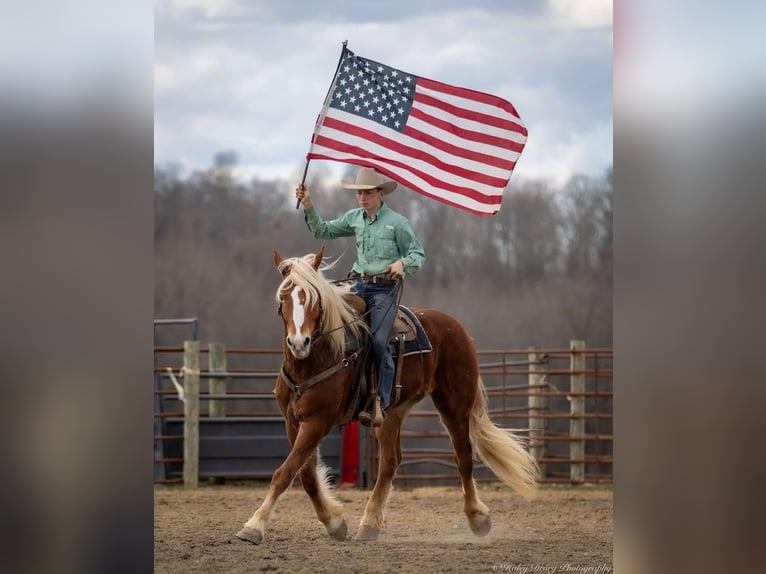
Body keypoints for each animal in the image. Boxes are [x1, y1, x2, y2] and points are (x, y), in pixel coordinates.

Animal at [237, 246, 536, 544]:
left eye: (313, 299)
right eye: (284, 297)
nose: (299, 342)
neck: (315, 359)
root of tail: (455, 326)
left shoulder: (317, 421)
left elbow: (285, 472)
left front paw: (254, 526)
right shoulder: (293, 421)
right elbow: (306, 475)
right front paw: (335, 522)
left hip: (454, 404)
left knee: (463, 457)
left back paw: (477, 519)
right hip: (391, 412)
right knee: (390, 462)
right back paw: (370, 524)